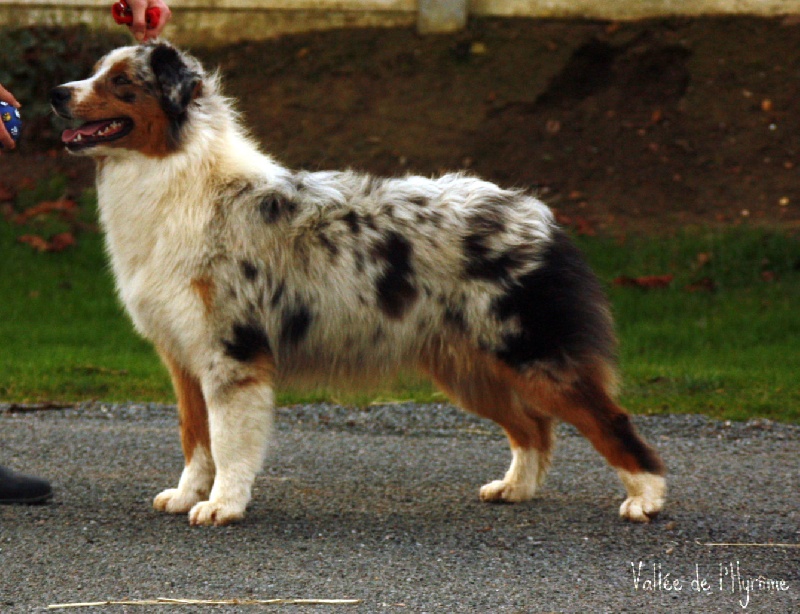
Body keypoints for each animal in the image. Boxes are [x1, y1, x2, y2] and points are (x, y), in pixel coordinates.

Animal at [53, 41, 664, 528]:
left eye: (122, 83)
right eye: (95, 71)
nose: (57, 94)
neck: (178, 176)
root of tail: (539, 214)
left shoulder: (231, 351)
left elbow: (227, 440)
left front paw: (222, 505)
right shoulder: (184, 355)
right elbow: (194, 436)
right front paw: (186, 496)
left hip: (531, 353)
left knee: (607, 419)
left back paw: (646, 498)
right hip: (467, 366)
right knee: (534, 427)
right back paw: (515, 488)